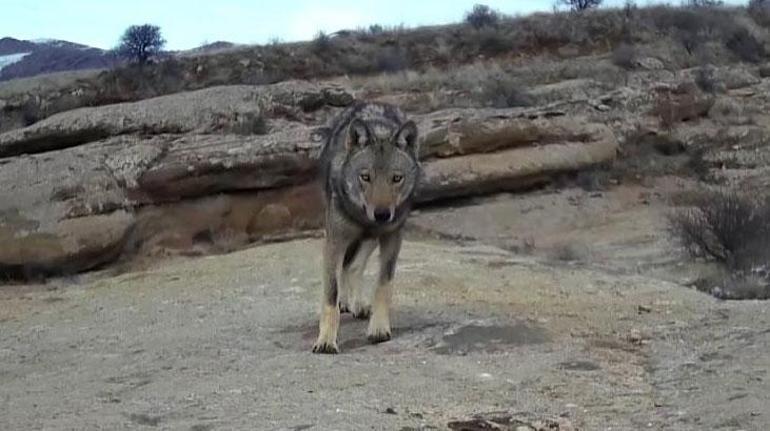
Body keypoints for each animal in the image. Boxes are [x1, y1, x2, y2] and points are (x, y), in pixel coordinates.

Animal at [310, 101, 420, 354]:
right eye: (365, 177)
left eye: (396, 178)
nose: (382, 214)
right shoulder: (334, 241)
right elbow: (330, 295)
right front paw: (326, 340)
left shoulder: (392, 238)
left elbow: (383, 285)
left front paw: (379, 328)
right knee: (346, 267)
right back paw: (346, 302)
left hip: (370, 238)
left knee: (353, 266)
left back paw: (357, 304)